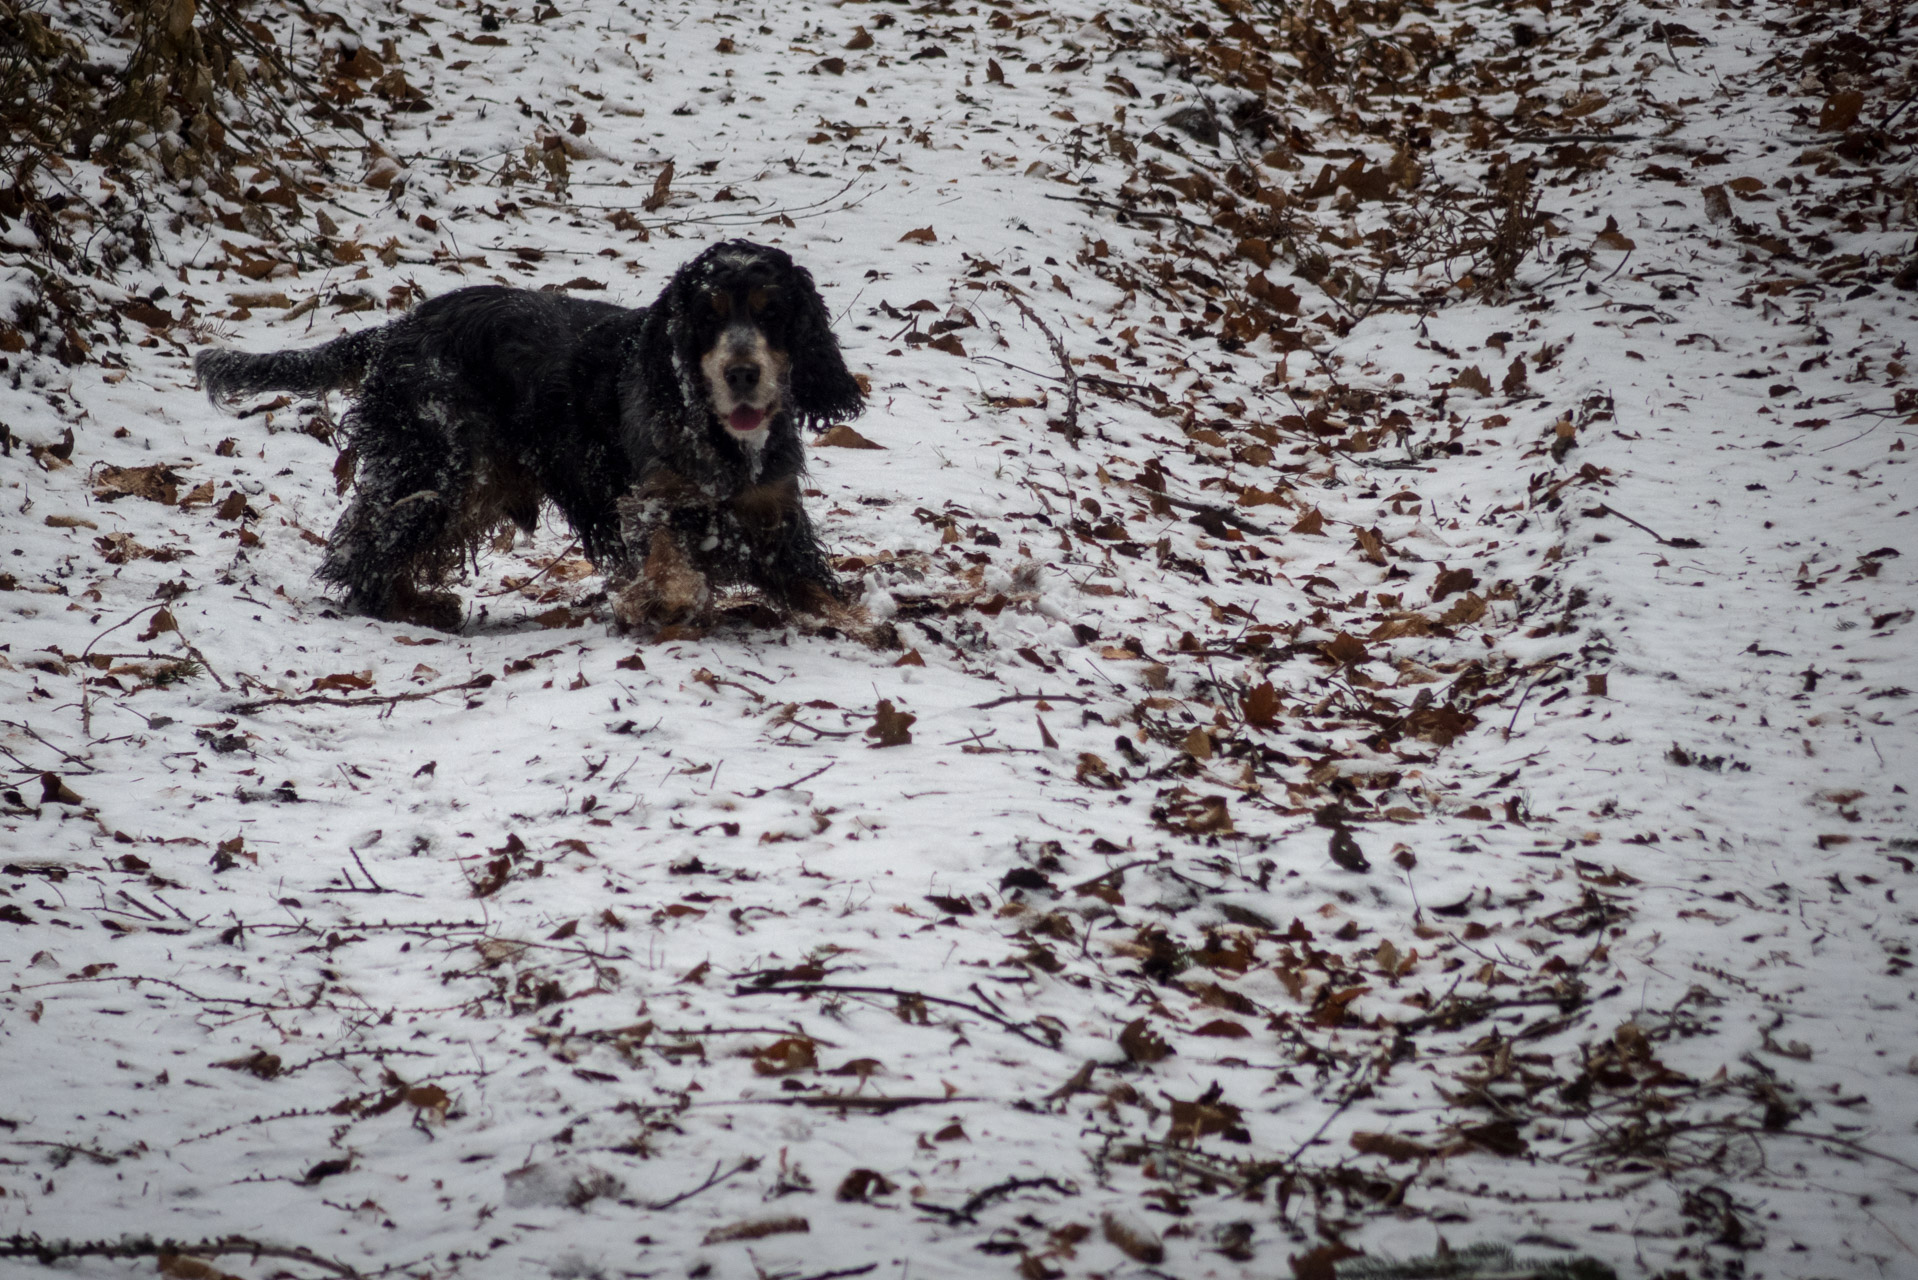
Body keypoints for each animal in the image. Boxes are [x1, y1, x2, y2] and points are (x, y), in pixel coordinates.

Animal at [194, 238, 863, 629]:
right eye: (707, 315)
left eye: (774, 312)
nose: (741, 372)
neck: (721, 437)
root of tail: (394, 331)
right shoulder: (650, 502)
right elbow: (671, 566)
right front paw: (659, 602)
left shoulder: (774, 520)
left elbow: (819, 588)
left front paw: (867, 623)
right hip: (444, 470)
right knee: (363, 547)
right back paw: (415, 607)